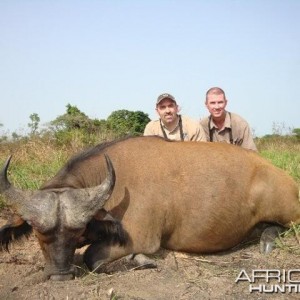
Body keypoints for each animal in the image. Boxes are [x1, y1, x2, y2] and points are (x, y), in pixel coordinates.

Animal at [0, 136, 300, 282]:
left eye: (77, 231)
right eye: (38, 233)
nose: (60, 276)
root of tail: (281, 176)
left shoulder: (141, 238)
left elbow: (92, 257)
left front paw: (142, 261)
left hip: (288, 212)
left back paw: (267, 238)